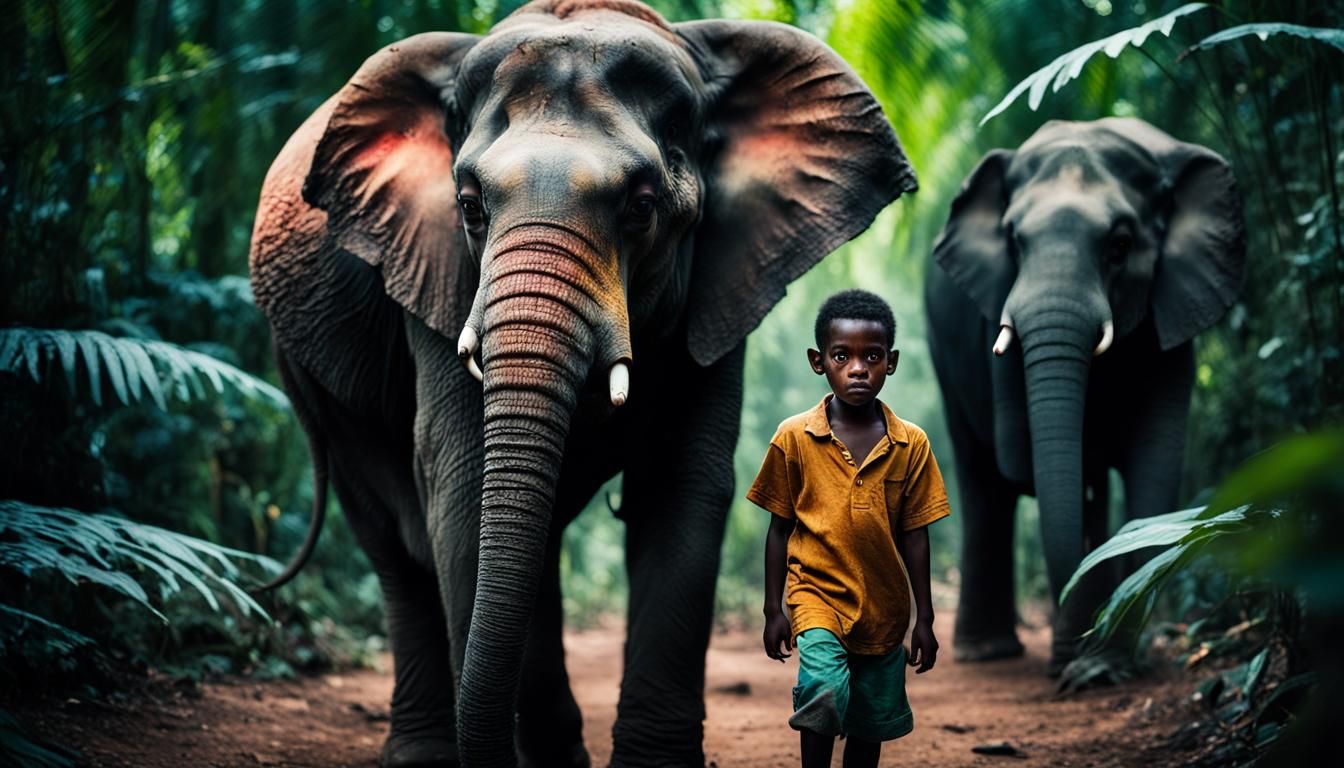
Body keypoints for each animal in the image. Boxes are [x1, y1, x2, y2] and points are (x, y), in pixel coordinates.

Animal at [247, 1, 915, 765]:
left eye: (642, 207)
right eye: (469, 207)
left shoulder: (719, 289)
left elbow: (680, 489)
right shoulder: (435, 276)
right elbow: (463, 488)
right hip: (312, 374)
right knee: (396, 546)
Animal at [924, 118, 1244, 681]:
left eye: (1120, 245)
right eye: (1013, 241)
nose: (1080, 656)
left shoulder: (1173, 317)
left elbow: (1153, 467)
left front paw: (1101, 666)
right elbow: (1026, 460)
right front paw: (1083, 663)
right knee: (984, 481)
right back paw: (989, 653)